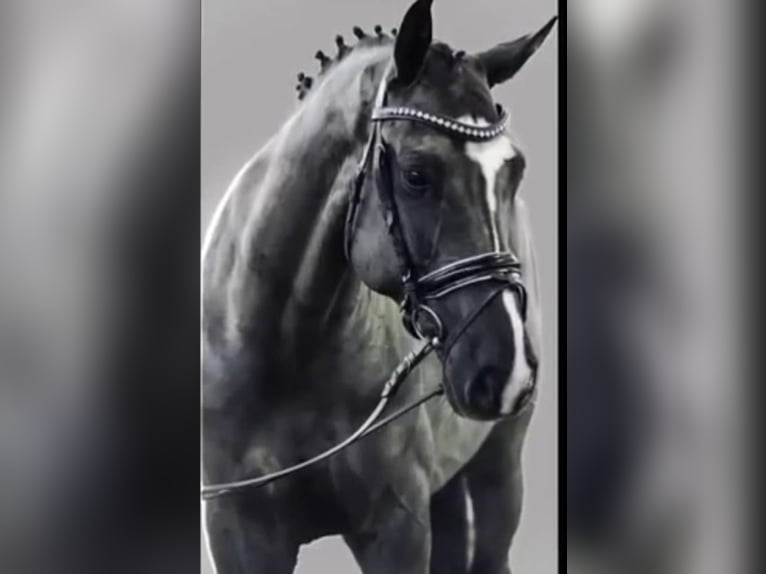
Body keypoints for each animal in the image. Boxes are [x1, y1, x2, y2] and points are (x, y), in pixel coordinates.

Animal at [202, 2, 556, 572]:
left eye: (515, 172)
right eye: (416, 174)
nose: (507, 372)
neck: (285, 352)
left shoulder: (397, 527)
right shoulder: (237, 530)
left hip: (498, 467)